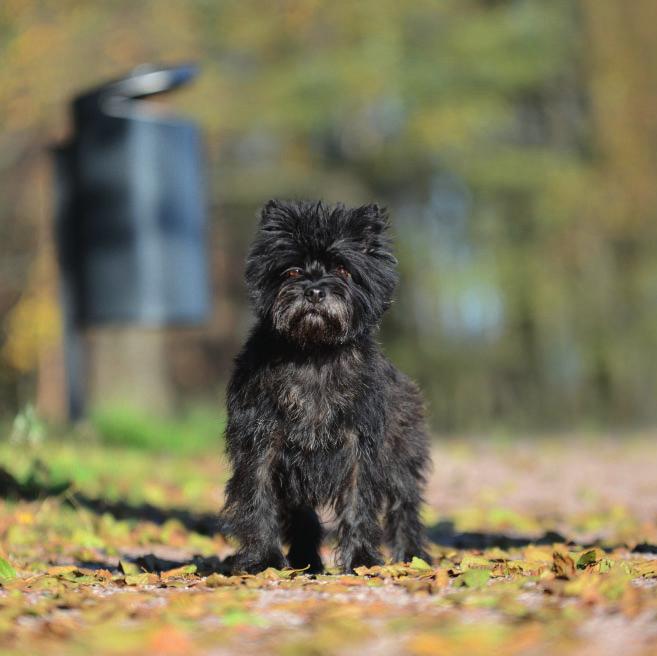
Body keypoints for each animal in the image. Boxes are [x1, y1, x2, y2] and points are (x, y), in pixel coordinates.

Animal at [223, 200, 434, 576]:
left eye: (343, 269)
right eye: (292, 271)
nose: (315, 291)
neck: (314, 354)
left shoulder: (359, 447)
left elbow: (359, 503)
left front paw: (362, 560)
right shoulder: (260, 445)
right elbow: (257, 500)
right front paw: (264, 560)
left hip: (402, 458)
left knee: (404, 506)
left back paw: (412, 556)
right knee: (303, 517)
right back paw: (306, 560)